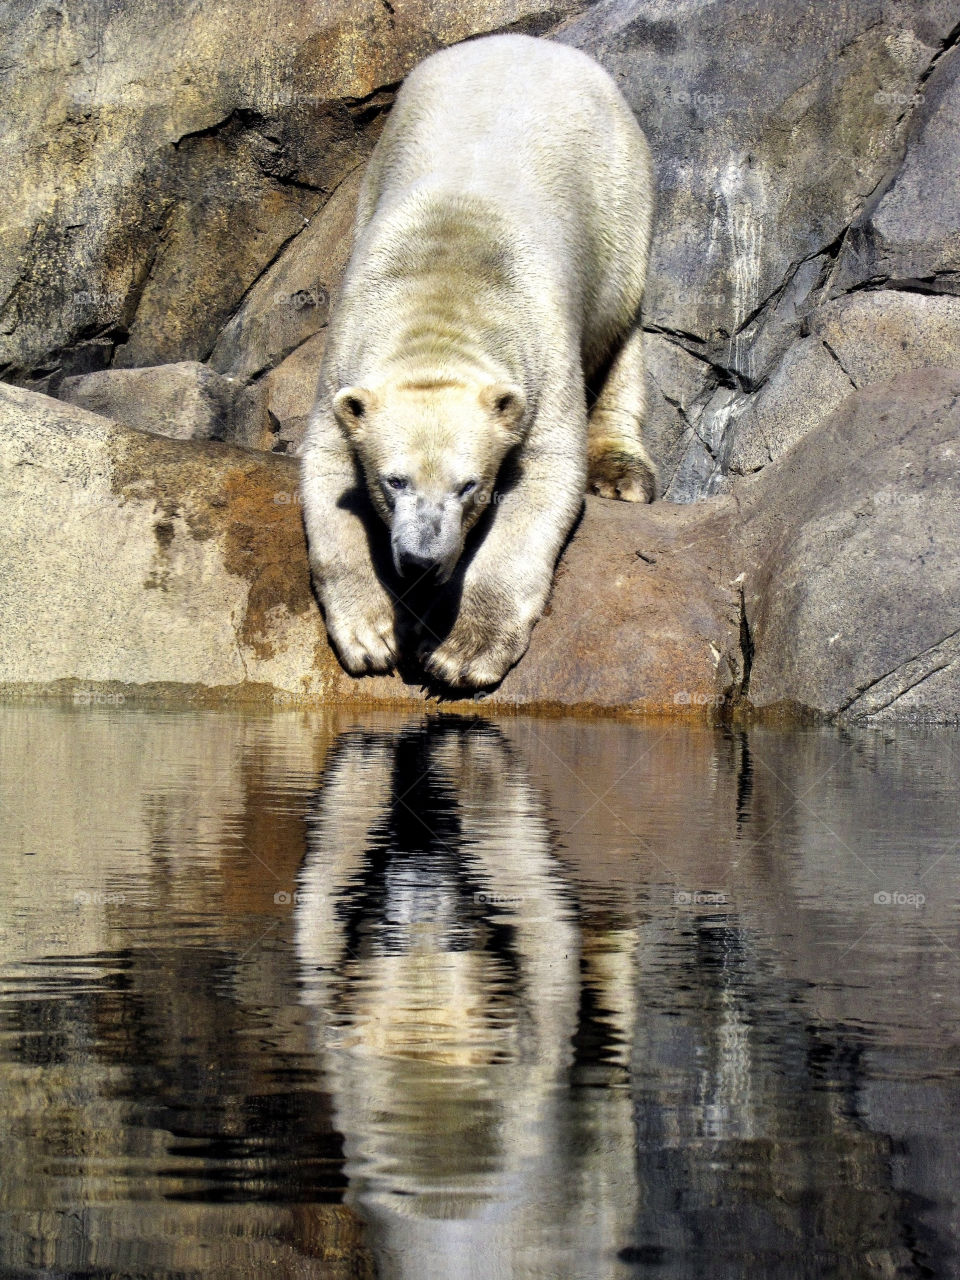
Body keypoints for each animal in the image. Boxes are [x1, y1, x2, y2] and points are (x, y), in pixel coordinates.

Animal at [304, 32, 660, 691]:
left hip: (621, 191)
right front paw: (372, 635)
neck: (446, 292)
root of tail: (529, 42)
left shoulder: (542, 360)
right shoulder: (346, 356)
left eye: (470, 486)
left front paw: (461, 653)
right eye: (394, 481)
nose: (420, 560)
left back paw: (622, 472)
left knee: (621, 322)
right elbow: (328, 469)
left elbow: (543, 481)